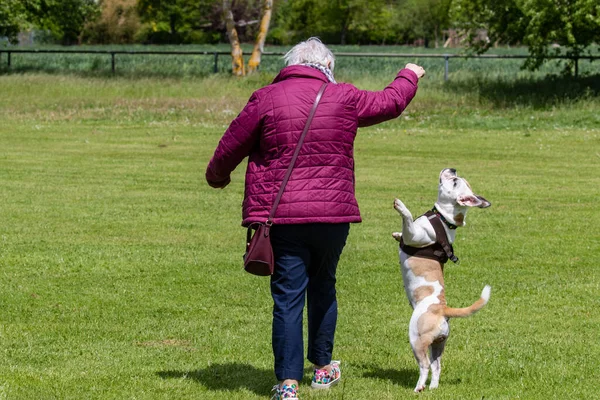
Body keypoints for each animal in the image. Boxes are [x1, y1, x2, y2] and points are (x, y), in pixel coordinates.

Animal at [394, 167, 492, 392]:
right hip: (438, 343)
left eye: (455, 181)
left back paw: (419, 387)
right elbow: (402, 231)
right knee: (436, 366)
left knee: (425, 366)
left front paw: (401, 207)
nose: (452, 169)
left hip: (417, 338)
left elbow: (408, 221)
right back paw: (433, 387)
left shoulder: (415, 235)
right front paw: (396, 234)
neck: (444, 219)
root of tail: (443, 309)